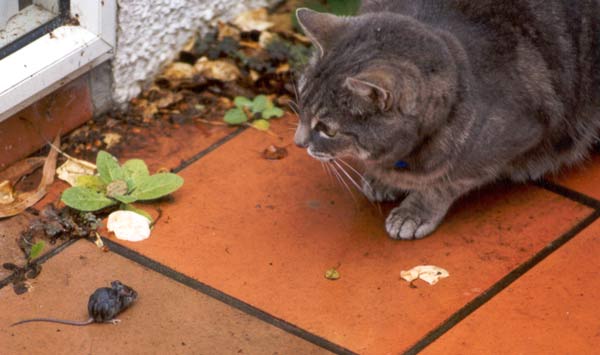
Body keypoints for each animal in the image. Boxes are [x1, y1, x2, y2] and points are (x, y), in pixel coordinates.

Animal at [292, 0, 596, 241]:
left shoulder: (507, 143)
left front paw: (413, 210)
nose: (298, 143)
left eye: (327, 130)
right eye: (302, 108)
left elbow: (446, 182)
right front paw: (382, 180)